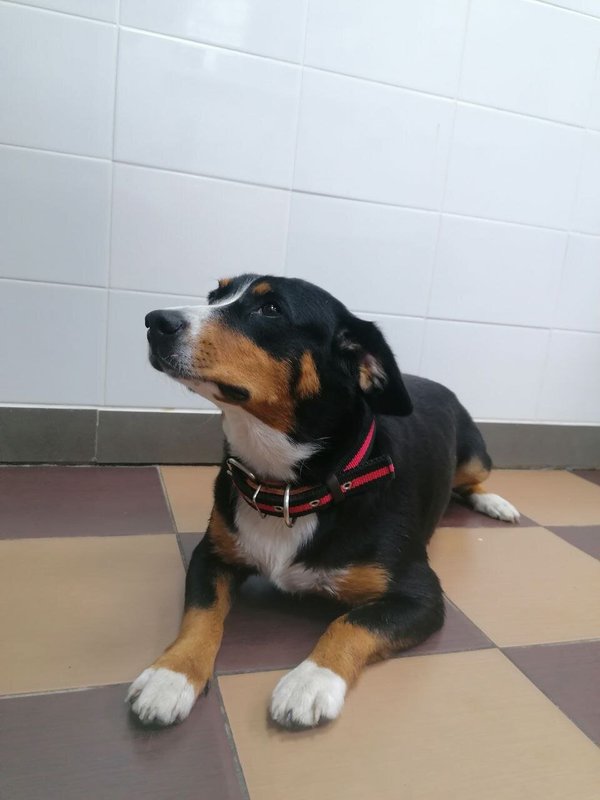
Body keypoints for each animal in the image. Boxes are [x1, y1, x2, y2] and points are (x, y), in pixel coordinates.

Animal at [127, 274, 519, 729]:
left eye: (271, 309)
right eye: (215, 295)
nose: (155, 321)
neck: (288, 488)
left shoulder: (420, 596)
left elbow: (350, 623)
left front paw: (310, 681)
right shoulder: (212, 555)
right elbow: (200, 614)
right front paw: (170, 675)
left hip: (475, 456)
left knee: (473, 481)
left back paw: (497, 504)